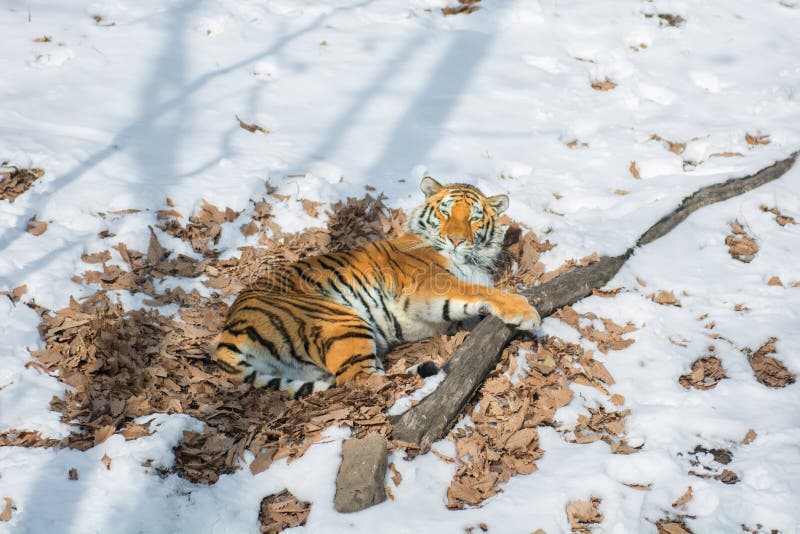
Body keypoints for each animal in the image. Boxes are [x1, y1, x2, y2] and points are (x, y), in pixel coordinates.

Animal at [212, 179, 540, 398]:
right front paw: (525, 311)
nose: (457, 240)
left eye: (473, 217)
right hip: (341, 321)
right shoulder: (429, 286)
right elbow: (478, 292)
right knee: (362, 382)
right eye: (446, 213)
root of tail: (229, 329)